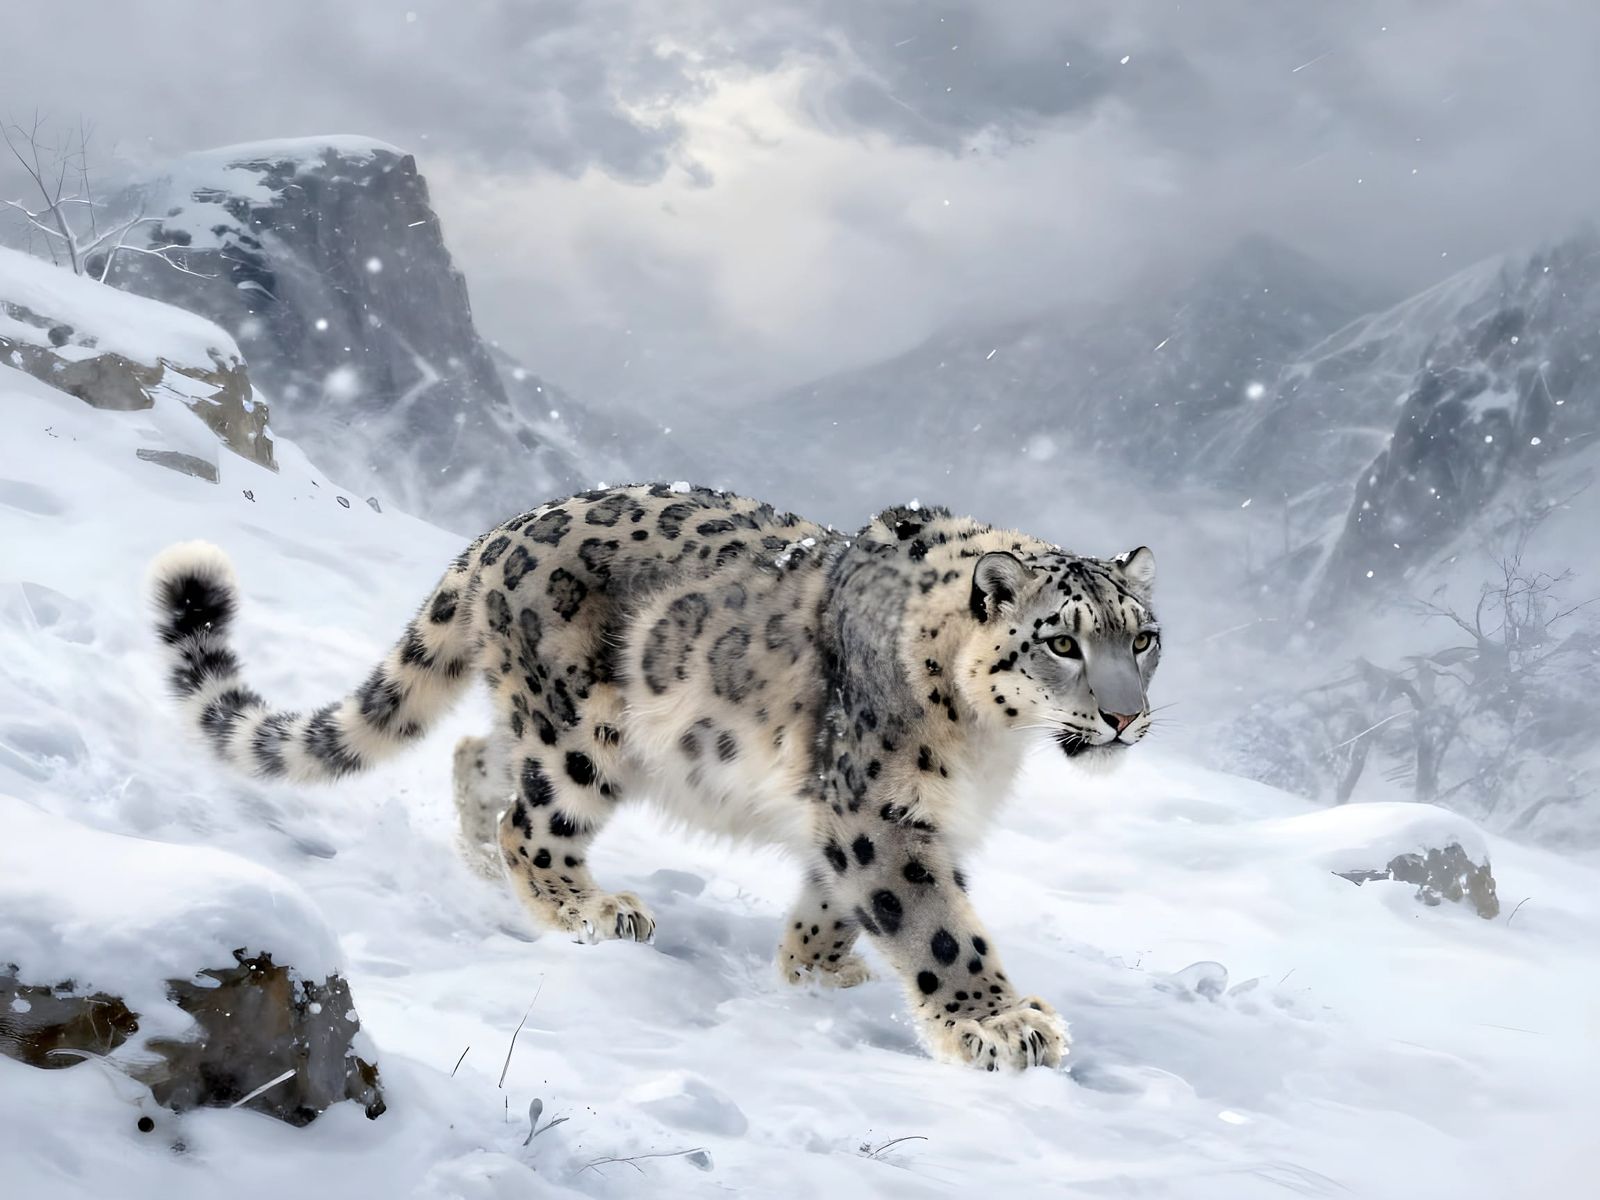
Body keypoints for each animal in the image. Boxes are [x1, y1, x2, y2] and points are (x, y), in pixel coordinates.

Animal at [148, 483, 1160, 1072]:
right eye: (1062, 643)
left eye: (1142, 636)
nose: (1124, 716)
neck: (992, 743)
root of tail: (496, 534)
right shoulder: (882, 809)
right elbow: (934, 921)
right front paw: (1002, 1025)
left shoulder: (858, 814)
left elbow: (832, 896)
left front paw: (816, 970)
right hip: (583, 733)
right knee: (532, 820)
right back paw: (591, 909)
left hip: (540, 723)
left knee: (477, 757)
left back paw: (478, 862)